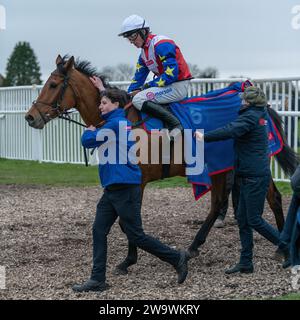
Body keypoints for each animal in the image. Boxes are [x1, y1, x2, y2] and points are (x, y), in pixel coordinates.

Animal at [25, 56, 298, 274]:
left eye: (53, 85)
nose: (30, 117)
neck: (125, 122)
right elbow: (127, 223)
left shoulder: (138, 182)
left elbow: (129, 223)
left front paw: (128, 260)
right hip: (222, 167)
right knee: (218, 203)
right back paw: (193, 247)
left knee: (272, 198)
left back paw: (282, 248)